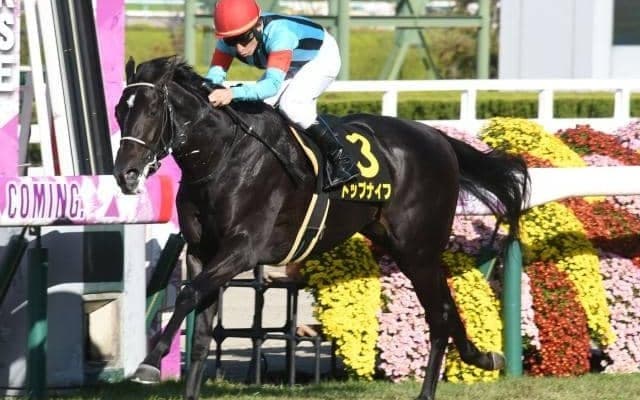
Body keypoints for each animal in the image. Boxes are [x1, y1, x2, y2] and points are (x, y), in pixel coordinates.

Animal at [113, 55, 530, 400]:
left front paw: (148, 364)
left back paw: (433, 389)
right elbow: (199, 330)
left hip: (418, 249)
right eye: (119, 110)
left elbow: (186, 295)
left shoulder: (243, 249)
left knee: (439, 314)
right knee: (445, 310)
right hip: (401, 244)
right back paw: (484, 357)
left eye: (152, 109)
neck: (222, 157)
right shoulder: (203, 254)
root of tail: (438, 137)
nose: (125, 174)